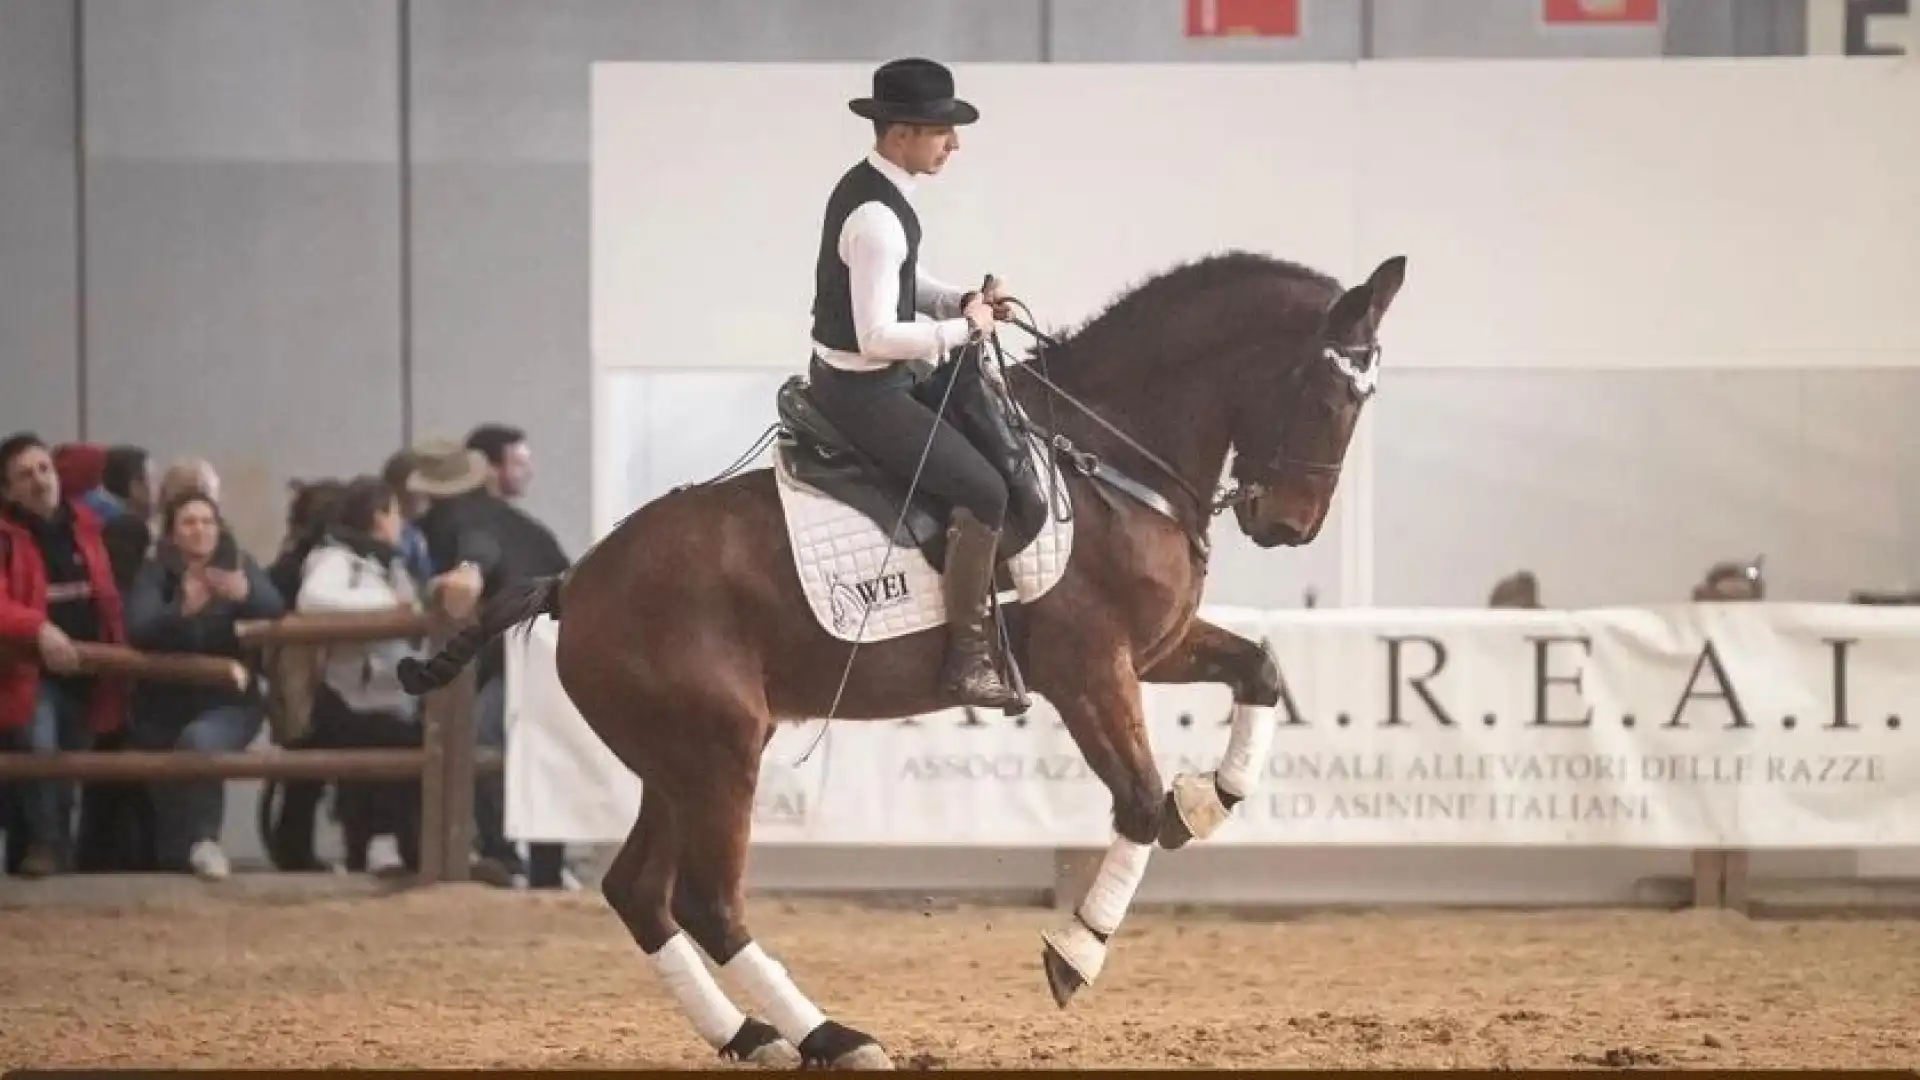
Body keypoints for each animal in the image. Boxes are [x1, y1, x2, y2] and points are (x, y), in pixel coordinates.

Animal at [397, 247, 1405, 1060]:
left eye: (1366, 400)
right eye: (1326, 394)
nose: (1289, 525)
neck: (1111, 456)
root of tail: (577, 581)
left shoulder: (1153, 650)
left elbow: (1259, 670)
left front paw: (1216, 795)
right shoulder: (1089, 668)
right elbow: (1138, 801)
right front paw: (1076, 951)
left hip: (679, 761)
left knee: (640, 892)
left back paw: (751, 1036)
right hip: (716, 753)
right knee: (706, 903)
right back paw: (831, 1038)